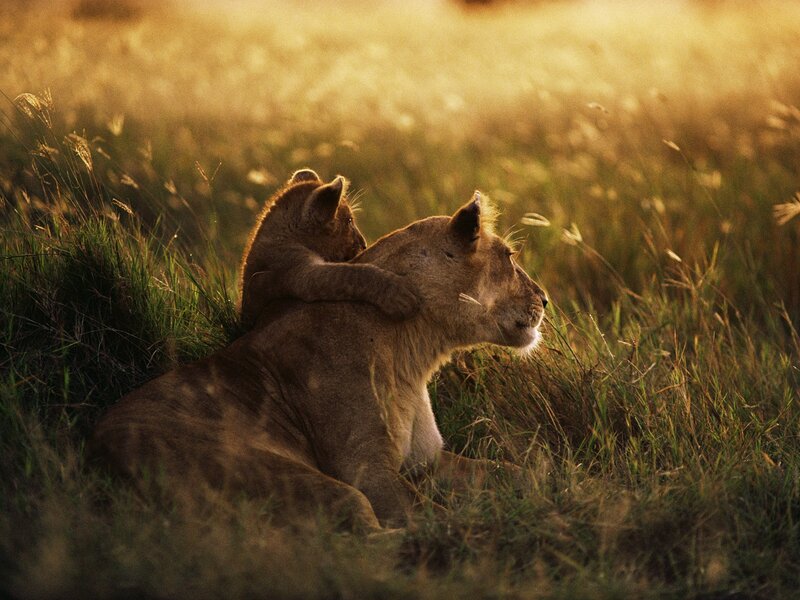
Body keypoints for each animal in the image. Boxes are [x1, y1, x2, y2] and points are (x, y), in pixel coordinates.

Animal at [91, 191, 548, 530]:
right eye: (510, 257)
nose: (545, 299)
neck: (414, 352)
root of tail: (97, 457)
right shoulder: (366, 469)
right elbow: (433, 517)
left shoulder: (428, 461)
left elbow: (515, 471)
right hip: (300, 479)